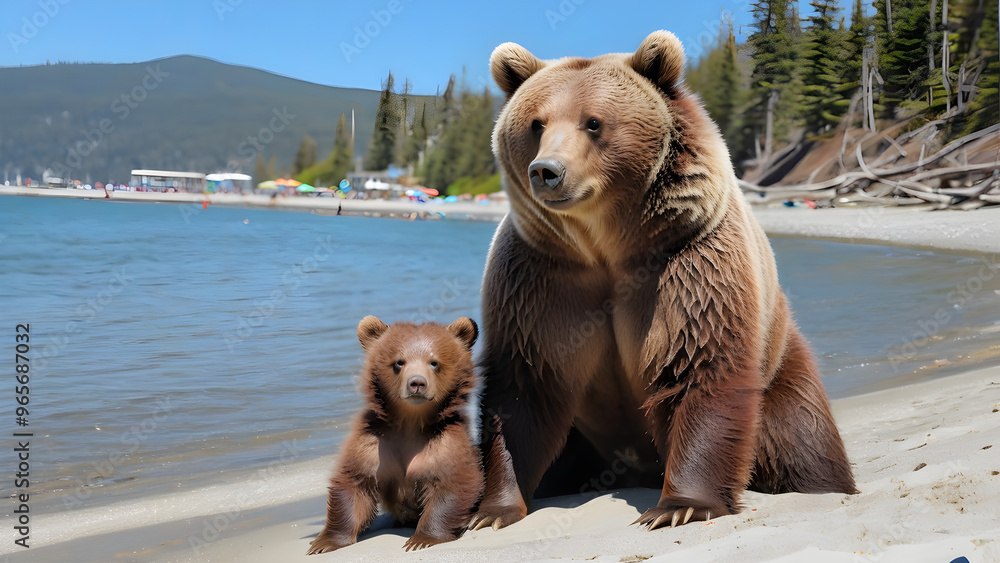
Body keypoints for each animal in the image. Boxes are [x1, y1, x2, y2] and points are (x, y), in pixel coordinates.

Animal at [306, 316, 486, 554]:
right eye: (399, 362)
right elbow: (354, 482)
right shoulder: (373, 442)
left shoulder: (446, 441)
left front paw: (422, 539)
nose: (417, 383)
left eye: (434, 362)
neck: (411, 423)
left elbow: (453, 483)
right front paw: (324, 542)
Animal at [470, 31, 857, 533]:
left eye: (593, 122)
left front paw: (681, 505)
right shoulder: (542, 278)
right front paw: (493, 510)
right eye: (537, 123)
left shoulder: (686, 259)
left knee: (802, 440)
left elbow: (698, 362)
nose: (547, 171)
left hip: (780, 367)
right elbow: (523, 386)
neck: (606, 245)